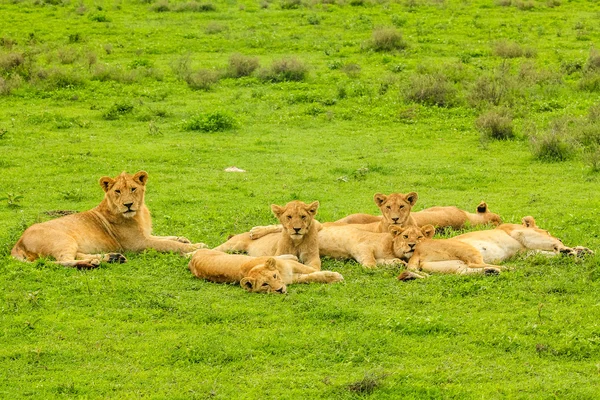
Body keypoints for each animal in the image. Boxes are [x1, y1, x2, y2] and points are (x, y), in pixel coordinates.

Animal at [8, 171, 206, 268]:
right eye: (117, 191)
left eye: (133, 188)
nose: (128, 205)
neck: (139, 213)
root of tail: (18, 242)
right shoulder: (138, 244)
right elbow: (169, 244)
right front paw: (197, 246)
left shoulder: (145, 235)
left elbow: (167, 237)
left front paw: (184, 238)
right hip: (63, 240)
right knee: (59, 261)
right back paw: (91, 263)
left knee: (76, 255)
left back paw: (112, 258)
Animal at [188, 248, 342, 292]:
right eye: (264, 284)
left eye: (274, 276)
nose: (280, 290)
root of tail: (192, 259)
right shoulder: (293, 277)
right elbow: (313, 276)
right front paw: (334, 277)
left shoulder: (293, 267)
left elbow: (310, 270)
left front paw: (335, 277)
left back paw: (291, 256)